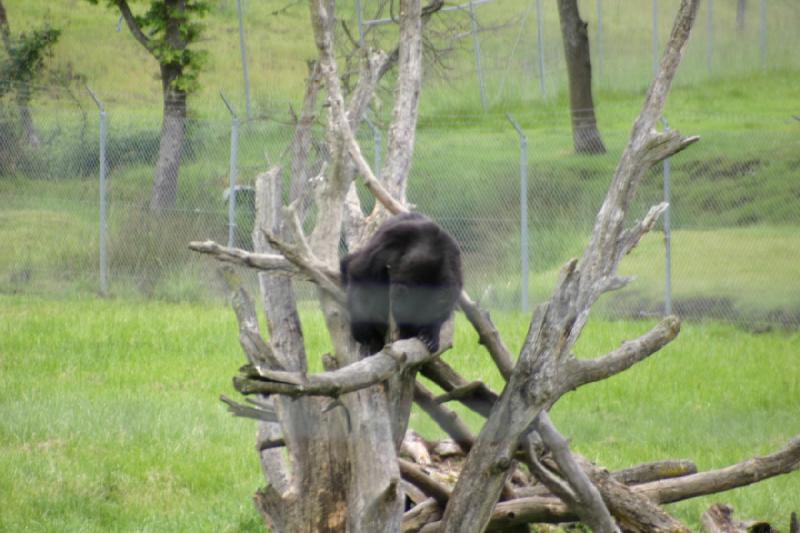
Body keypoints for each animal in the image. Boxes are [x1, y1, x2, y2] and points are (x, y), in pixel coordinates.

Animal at [342, 212, 466, 354]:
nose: (413, 331)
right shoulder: (389, 241)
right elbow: (360, 273)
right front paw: (365, 331)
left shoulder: (454, 264)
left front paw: (430, 335)